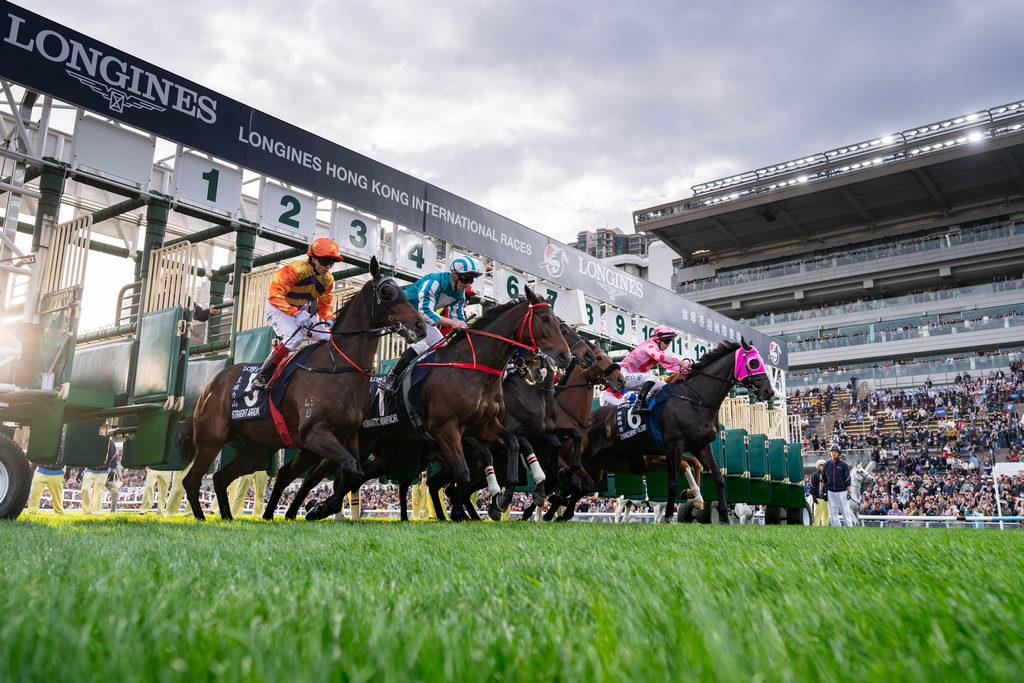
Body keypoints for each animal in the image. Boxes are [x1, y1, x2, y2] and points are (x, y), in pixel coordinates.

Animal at [180, 257, 426, 520]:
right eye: (387, 293)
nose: (420, 326)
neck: (338, 367)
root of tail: (212, 384)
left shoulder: (347, 436)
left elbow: (353, 473)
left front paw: (318, 507)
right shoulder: (313, 434)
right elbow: (349, 469)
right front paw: (317, 508)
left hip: (255, 450)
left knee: (219, 478)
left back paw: (228, 518)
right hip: (210, 440)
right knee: (191, 482)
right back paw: (202, 518)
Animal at [298, 288, 574, 522]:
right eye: (545, 319)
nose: (565, 356)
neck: (473, 369)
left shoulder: (487, 425)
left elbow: (515, 443)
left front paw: (507, 495)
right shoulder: (448, 430)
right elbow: (466, 472)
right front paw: (467, 510)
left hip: (391, 452)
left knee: (356, 475)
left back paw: (323, 507)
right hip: (360, 440)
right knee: (332, 473)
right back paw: (317, 508)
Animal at [578, 339, 776, 523]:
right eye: (753, 363)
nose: (769, 392)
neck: (695, 398)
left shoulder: (702, 446)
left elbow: (717, 477)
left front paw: (722, 516)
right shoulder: (673, 445)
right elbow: (673, 482)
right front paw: (669, 515)